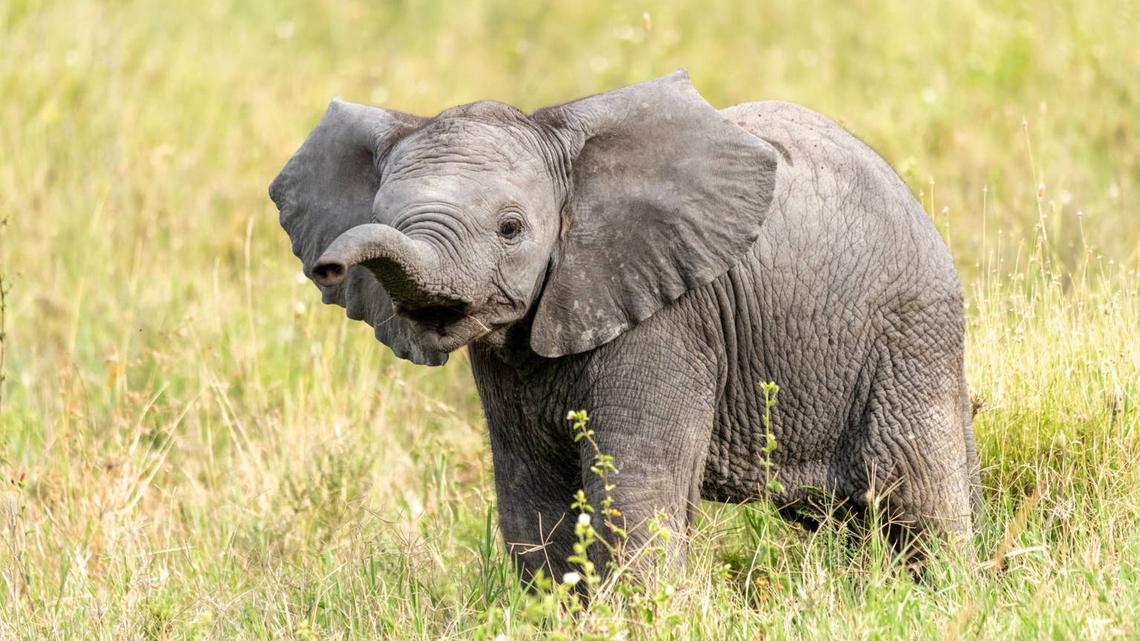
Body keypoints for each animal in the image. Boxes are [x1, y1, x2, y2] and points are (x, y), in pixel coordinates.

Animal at [269, 70, 980, 582]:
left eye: (511, 228)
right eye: (381, 217)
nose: (329, 266)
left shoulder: (671, 322)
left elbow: (633, 498)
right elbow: (534, 505)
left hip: (910, 340)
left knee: (918, 502)